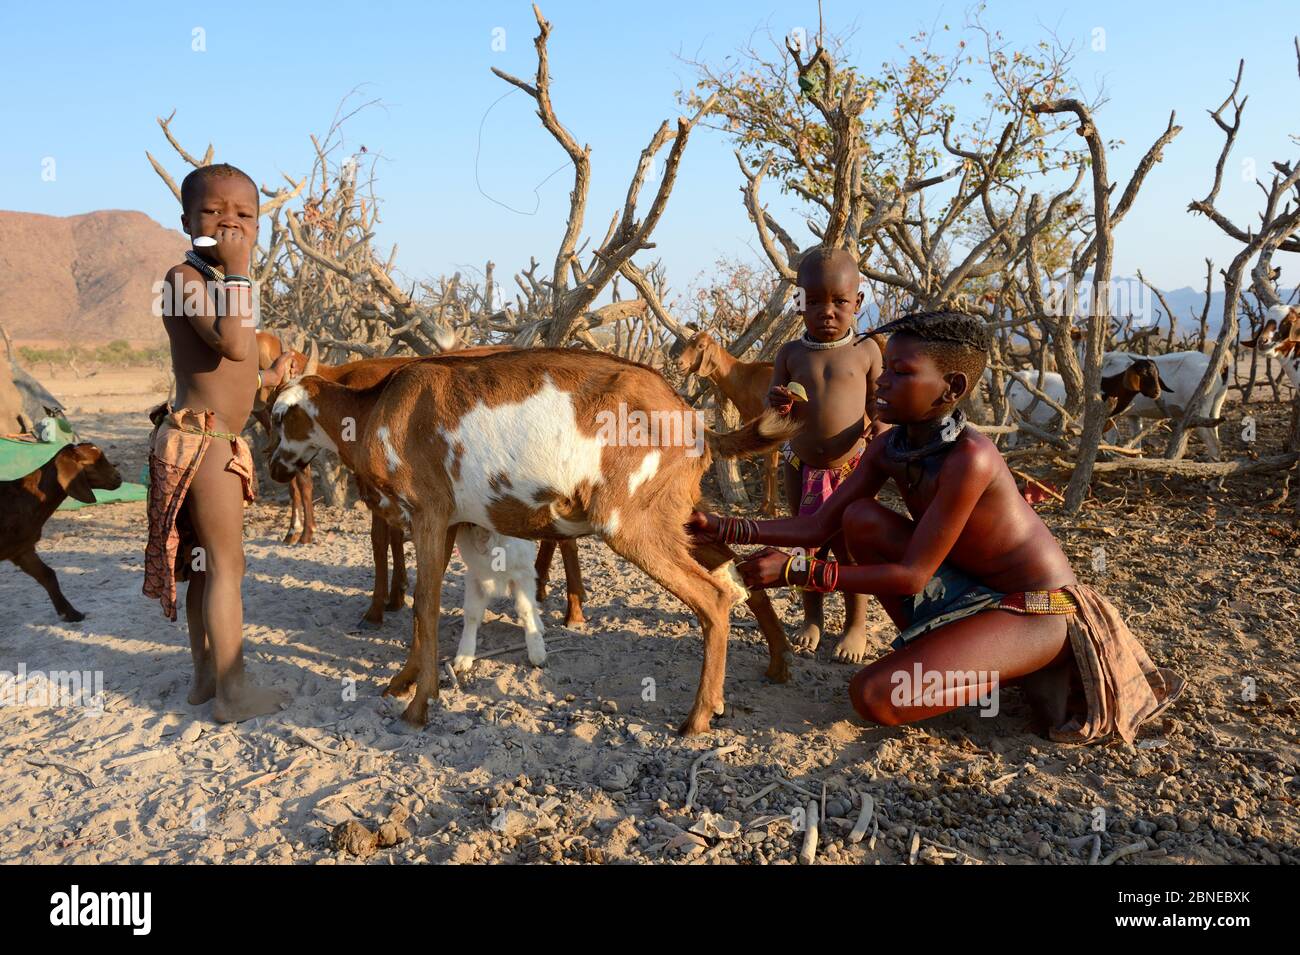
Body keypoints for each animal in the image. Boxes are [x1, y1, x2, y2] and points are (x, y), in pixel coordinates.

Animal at [269, 348, 795, 738]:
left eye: (277, 416)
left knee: (713, 596)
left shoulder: (428, 514)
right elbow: (426, 605)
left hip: (628, 521)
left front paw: (418, 707)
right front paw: (404, 682)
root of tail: (695, 424)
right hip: (674, 513)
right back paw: (774, 665)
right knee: (734, 574)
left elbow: (425, 605)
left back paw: (698, 718)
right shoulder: (448, 522)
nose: (275, 467)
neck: (373, 411)